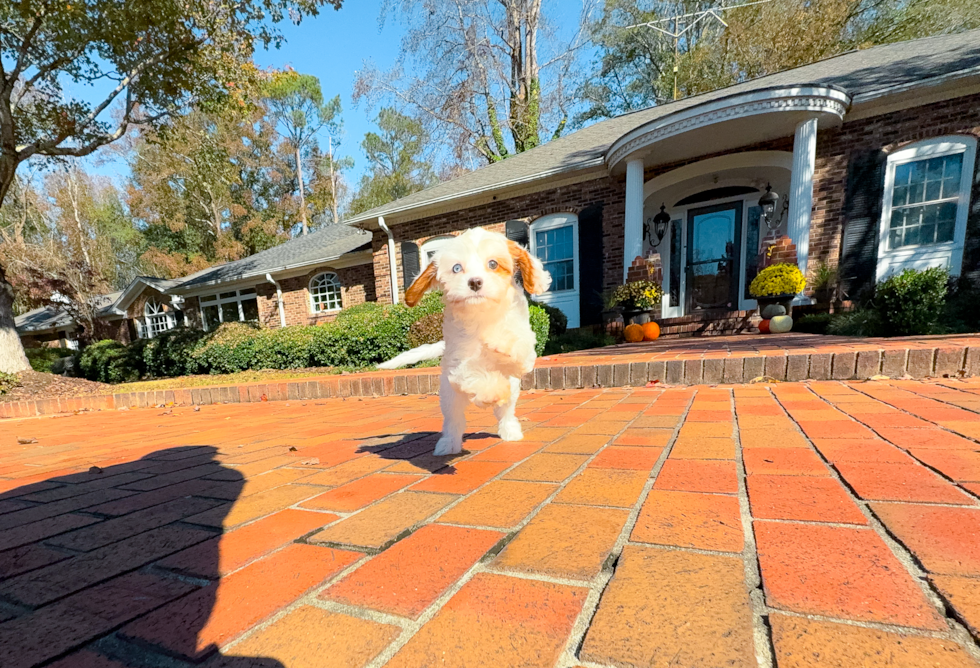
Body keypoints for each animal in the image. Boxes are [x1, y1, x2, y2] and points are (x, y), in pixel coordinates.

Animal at [378, 228, 552, 454]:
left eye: (493, 264)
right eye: (457, 268)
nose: (475, 282)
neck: (481, 315)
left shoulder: (524, 348)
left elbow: (517, 346)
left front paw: (501, 343)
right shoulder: (458, 362)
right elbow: (473, 372)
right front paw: (489, 388)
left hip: (512, 392)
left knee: (505, 413)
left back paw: (510, 431)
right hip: (449, 397)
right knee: (454, 420)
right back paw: (448, 443)